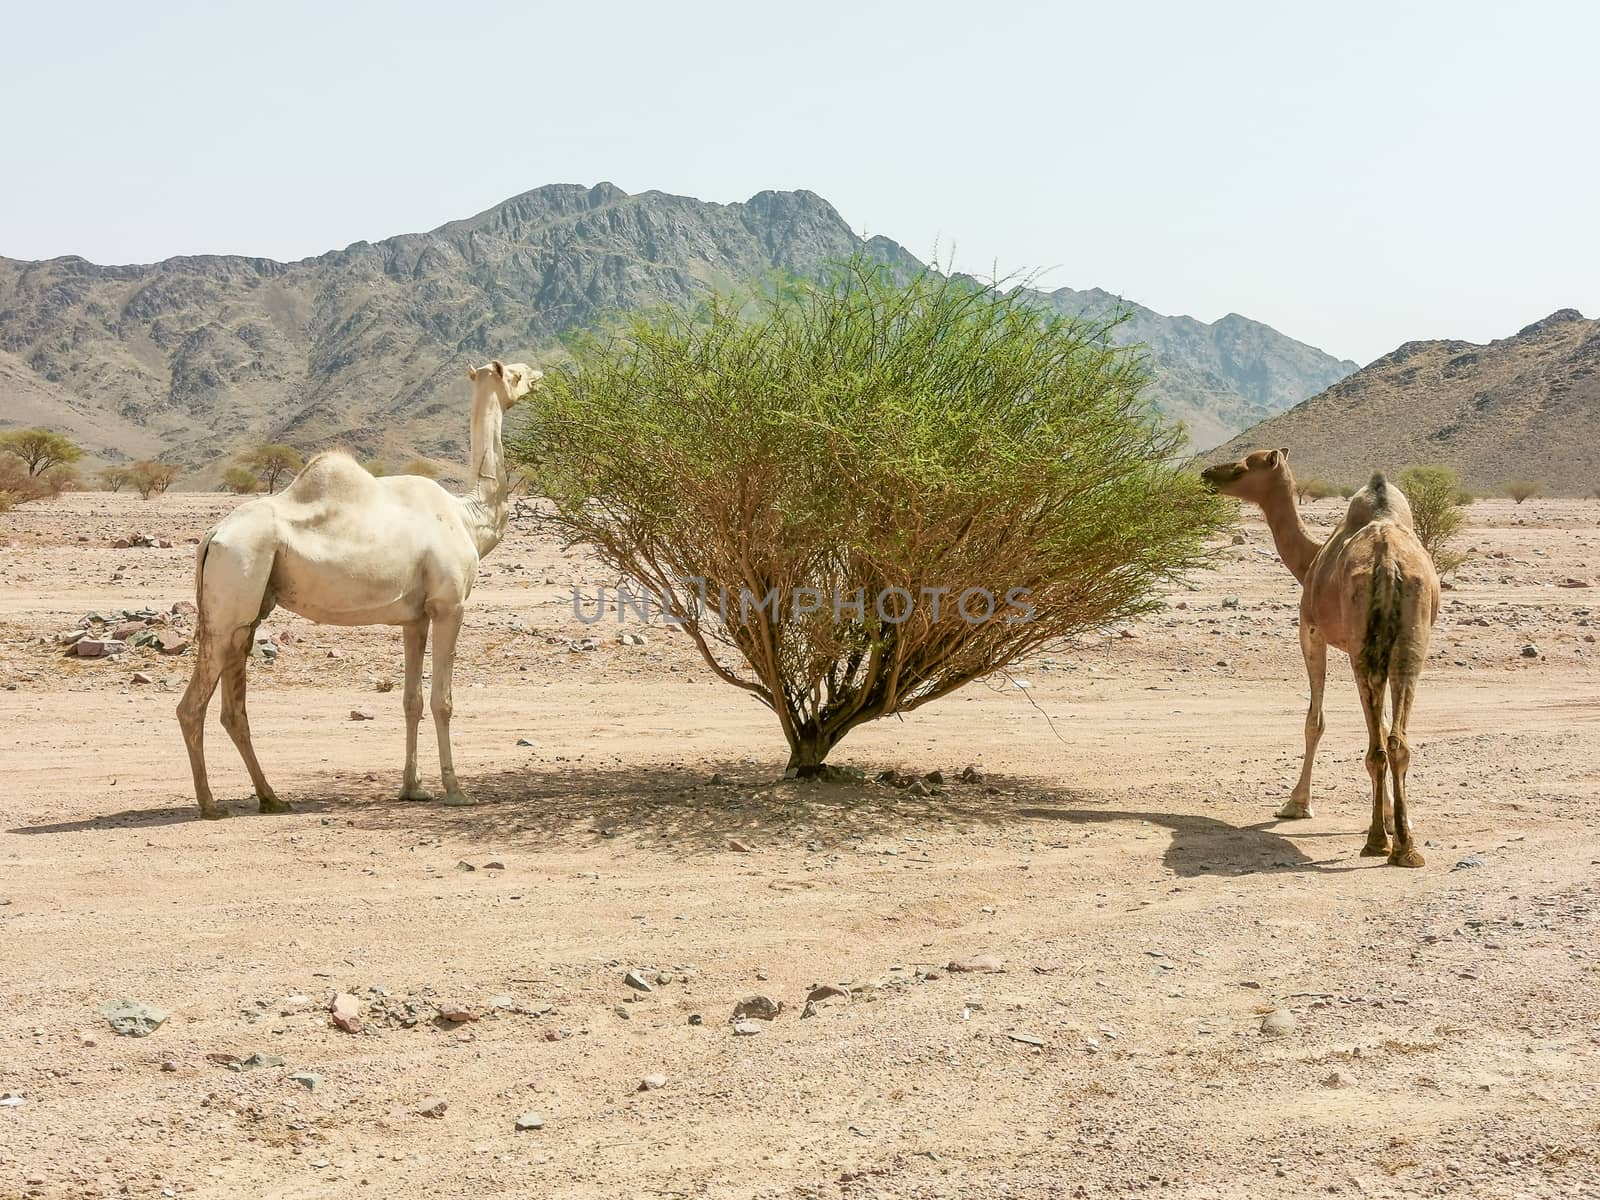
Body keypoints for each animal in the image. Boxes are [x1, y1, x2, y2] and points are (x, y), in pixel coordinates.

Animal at [175, 361, 537, 825]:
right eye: (514, 375)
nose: (539, 376)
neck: (469, 517)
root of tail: (212, 536)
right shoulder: (449, 605)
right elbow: (442, 700)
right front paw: (456, 791)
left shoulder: (415, 617)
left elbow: (411, 700)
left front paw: (412, 788)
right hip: (232, 590)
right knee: (192, 705)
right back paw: (209, 804)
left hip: (246, 615)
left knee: (233, 708)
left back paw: (271, 798)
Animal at [1203, 448, 1440, 864]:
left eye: (1242, 466)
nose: (1206, 474)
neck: (1312, 558)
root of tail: (1388, 563)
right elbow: (1380, 726)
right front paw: (1394, 818)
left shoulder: (1311, 631)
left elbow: (1314, 721)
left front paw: (1295, 804)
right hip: (1411, 644)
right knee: (1396, 741)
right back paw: (1405, 849)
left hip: (1362, 647)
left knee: (1377, 746)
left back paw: (1377, 842)